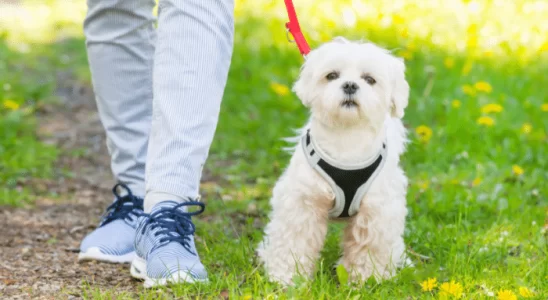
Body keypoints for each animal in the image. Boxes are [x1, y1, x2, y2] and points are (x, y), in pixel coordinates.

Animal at [258, 36, 412, 284]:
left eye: (370, 79)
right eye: (331, 75)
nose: (350, 85)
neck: (346, 139)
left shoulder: (377, 211)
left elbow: (368, 247)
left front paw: (365, 279)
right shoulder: (302, 202)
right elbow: (294, 242)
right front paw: (288, 278)